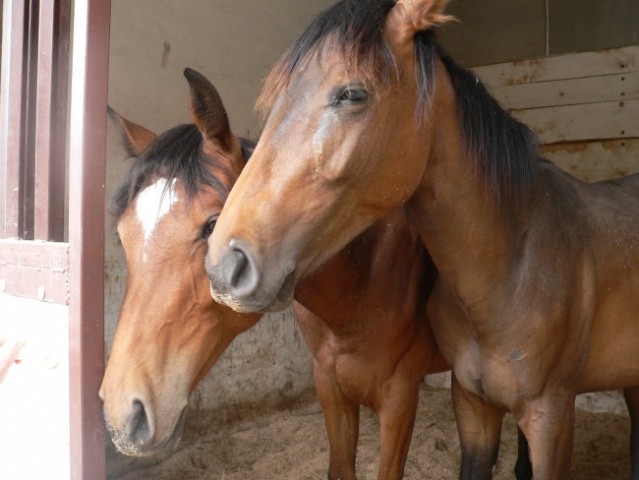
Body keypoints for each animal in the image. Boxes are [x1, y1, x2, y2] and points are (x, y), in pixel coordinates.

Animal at [99, 68, 456, 480]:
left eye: (212, 225)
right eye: (122, 235)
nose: (123, 414)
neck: (365, 282)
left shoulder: (400, 398)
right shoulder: (329, 387)